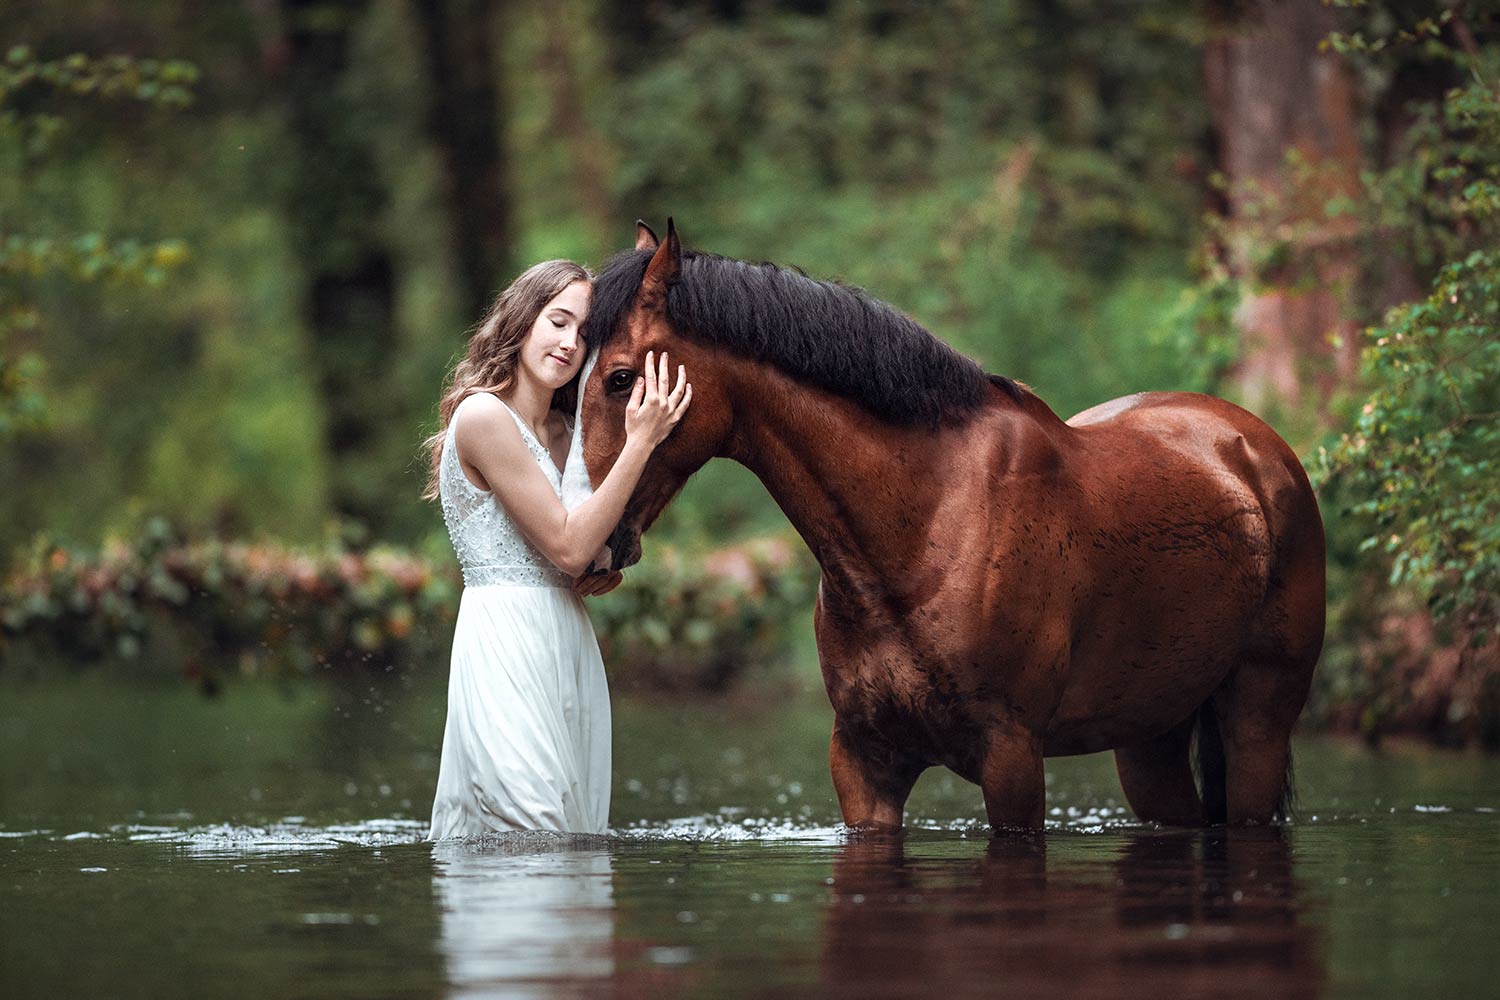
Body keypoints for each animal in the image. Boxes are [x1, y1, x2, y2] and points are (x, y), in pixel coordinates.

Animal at [579, 219, 1325, 833]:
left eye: (620, 379)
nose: (591, 542)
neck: (922, 533)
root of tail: (1253, 446)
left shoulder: (1012, 757)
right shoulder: (864, 762)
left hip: (1257, 721)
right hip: (1150, 740)